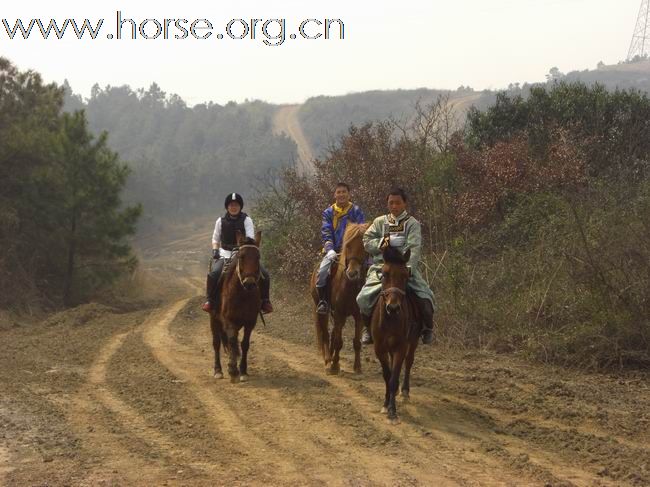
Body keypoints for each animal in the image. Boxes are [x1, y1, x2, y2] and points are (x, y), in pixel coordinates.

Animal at [206, 231, 260, 384]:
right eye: (241, 257)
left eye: (258, 257)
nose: (250, 283)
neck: (242, 293)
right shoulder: (229, 321)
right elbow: (231, 342)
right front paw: (232, 370)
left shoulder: (250, 322)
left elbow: (244, 344)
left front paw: (243, 371)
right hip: (213, 319)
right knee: (216, 343)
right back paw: (218, 370)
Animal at [308, 223, 368, 376]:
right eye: (348, 246)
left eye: (363, 246)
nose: (352, 273)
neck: (350, 286)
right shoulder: (340, 313)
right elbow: (338, 341)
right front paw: (334, 366)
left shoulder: (358, 316)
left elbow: (356, 342)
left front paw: (357, 367)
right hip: (322, 310)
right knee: (325, 333)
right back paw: (328, 361)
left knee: (333, 333)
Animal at [370, 246, 420, 426]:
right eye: (384, 274)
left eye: (405, 276)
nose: (393, 307)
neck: (391, 319)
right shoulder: (379, 348)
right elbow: (387, 376)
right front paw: (385, 405)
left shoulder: (401, 347)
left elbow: (393, 378)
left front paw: (393, 412)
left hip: (413, 340)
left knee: (409, 361)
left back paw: (404, 391)